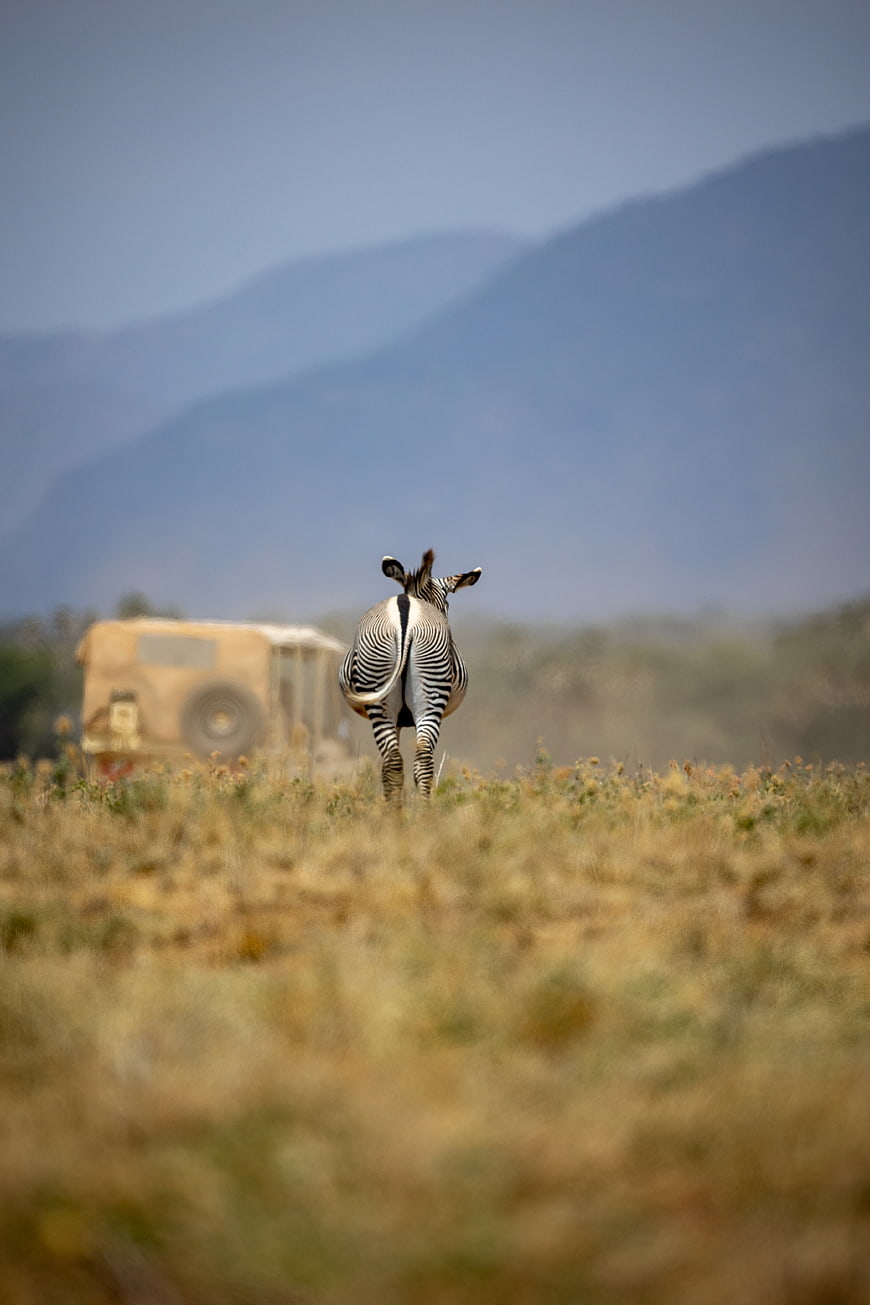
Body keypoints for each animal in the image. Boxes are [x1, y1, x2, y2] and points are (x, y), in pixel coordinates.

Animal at [339, 549, 482, 801]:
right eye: (447, 605)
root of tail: (405, 613)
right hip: (427, 694)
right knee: (420, 761)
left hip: (384, 694)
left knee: (396, 762)